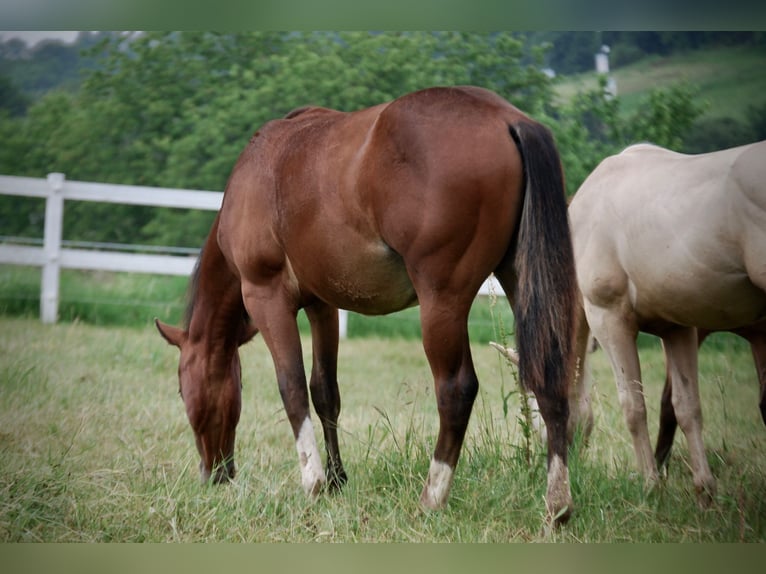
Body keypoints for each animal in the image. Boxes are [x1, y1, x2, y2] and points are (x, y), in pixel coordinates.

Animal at [153, 86, 580, 520]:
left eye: (183, 391)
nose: (214, 474)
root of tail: (507, 118)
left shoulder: (266, 296)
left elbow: (292, 387)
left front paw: (314, 482)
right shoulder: (322, 305)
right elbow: (324, 390)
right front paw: (337, 480)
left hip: (442, 302)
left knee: (456, 390)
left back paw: (432, 497)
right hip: (522, 281)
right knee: (548, 375)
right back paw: (557, 505)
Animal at [568, 142, 764, 506]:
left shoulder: (608, 318)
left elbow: (634, 406)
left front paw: (651, 487)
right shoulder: (679, 329)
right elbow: (686, 407)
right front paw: (704, 491)